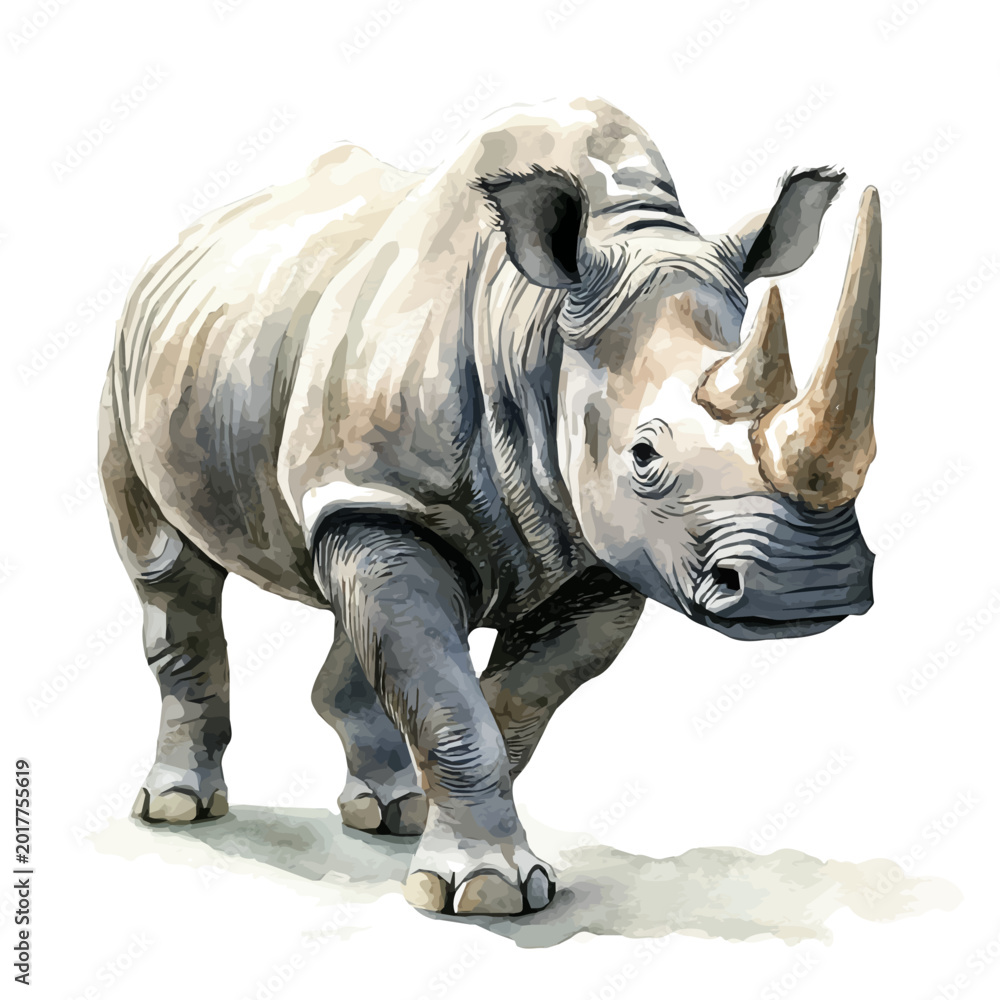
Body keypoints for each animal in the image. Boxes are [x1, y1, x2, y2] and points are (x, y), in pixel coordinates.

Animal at [99, 96, 881, 916]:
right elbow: (448, 697)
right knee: (167, 569)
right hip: (128, 365)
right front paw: (485, 892)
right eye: (644, 456)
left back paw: (387, 811)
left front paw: (449, 847)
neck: (539, 324)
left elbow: (509, 698)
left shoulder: (600, 547)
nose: (810, 586)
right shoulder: (386, 494)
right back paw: (179, 808)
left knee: (341, 589)